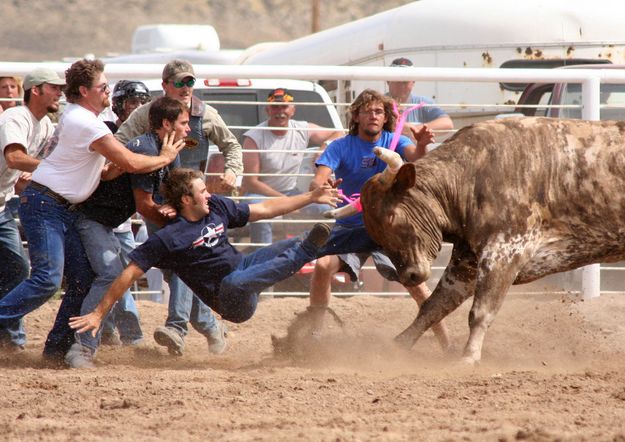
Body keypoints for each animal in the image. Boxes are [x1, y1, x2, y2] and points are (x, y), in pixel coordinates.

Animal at [330, 116, 625, 362]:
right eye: (374, 231)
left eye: (392, 217)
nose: (409, 276)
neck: (472, 177)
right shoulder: (467, 262)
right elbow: (434, 307)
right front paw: (398, 346)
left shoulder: (505, 252)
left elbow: (481, 311)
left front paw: (468, 357)